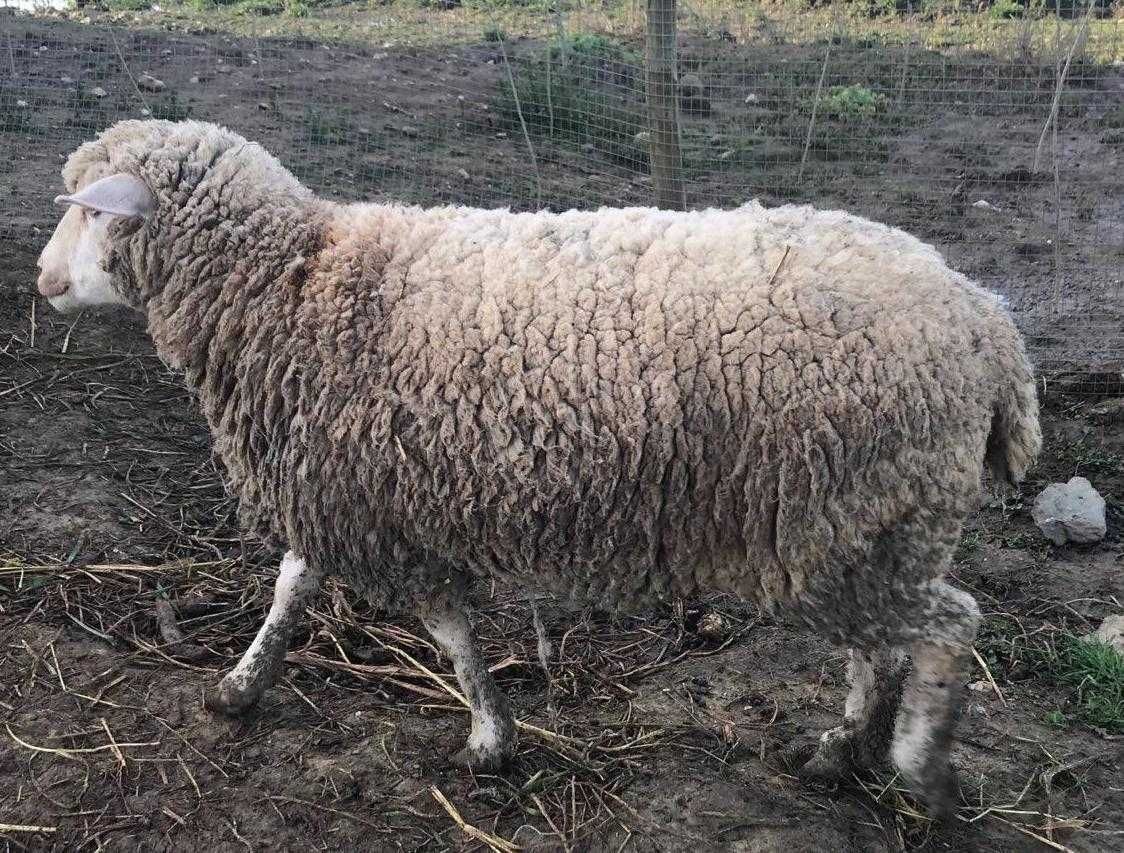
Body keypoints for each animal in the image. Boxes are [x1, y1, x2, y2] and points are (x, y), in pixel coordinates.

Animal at [32, 118, 1043, 813]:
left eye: (91, 211)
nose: (41, 283)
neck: (295, 281)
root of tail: (987, 323)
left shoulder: (382, 499)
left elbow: (446, 629)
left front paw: (488, 733)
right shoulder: (347, 483)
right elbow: (292, 585)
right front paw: (241, 686)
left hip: (853, 514)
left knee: (947, 624)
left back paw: (915, 766)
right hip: (874, 523)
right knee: (885, 642)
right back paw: (841, 751)